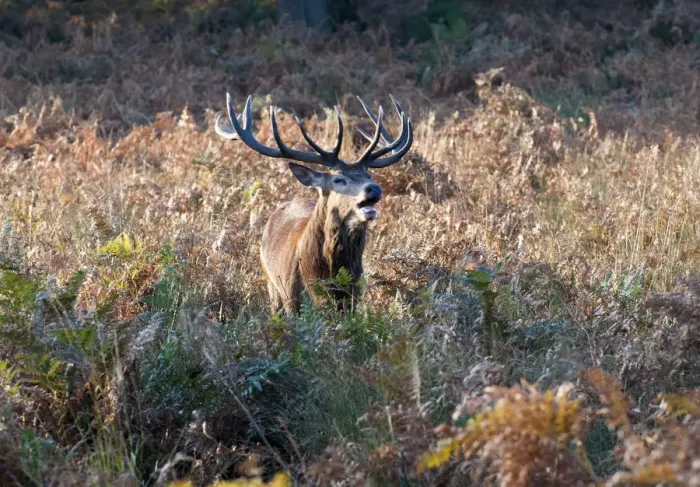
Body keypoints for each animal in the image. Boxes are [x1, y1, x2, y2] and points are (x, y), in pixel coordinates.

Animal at [215, 93, 413, 314]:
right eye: (338, 179)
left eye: (369, 175)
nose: (374, 188)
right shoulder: (292, 299)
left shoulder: (353, 299)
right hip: (271, 283)